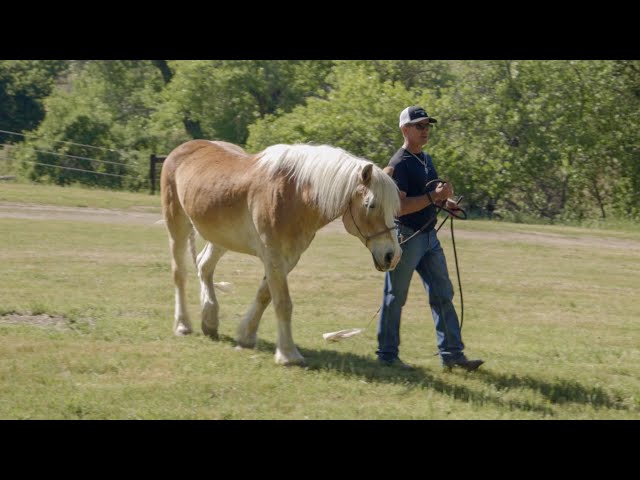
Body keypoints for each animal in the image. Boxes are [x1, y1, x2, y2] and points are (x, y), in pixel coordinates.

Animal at [160, 141, 400, 366]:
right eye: (370, 205)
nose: (393, 255)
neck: (293, 195)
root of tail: (183, 149)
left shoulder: (288, 259)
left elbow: (265, 296)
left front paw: (246, 336)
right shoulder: (273, 256)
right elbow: (283, 303)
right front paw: (288, 354)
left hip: (220, 238)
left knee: (204, 266)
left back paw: (209, 320)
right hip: (177, 225)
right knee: (179, 274)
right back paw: (183, 325)